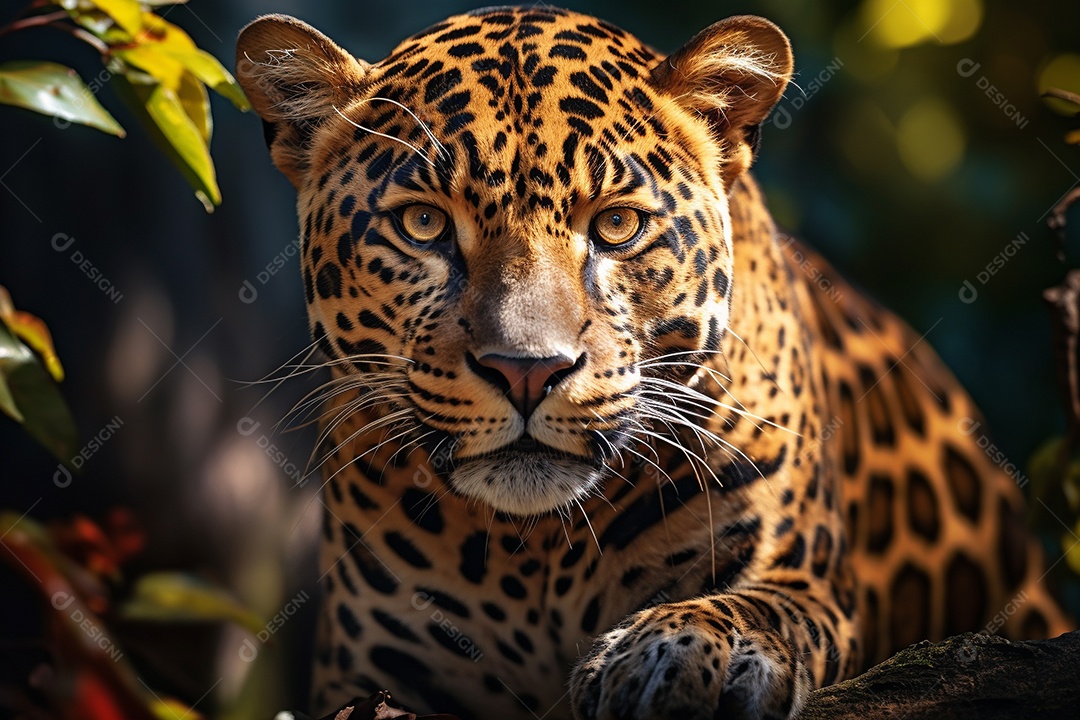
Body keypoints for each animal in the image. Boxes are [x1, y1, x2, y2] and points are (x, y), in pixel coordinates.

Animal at [235, 7, 1071, 720]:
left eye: (616, 226)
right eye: (422, 224)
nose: (526, 370)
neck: (532, 553)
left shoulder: (801, 575)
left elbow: (750, 606)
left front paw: (682, 649)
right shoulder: (375, 671)